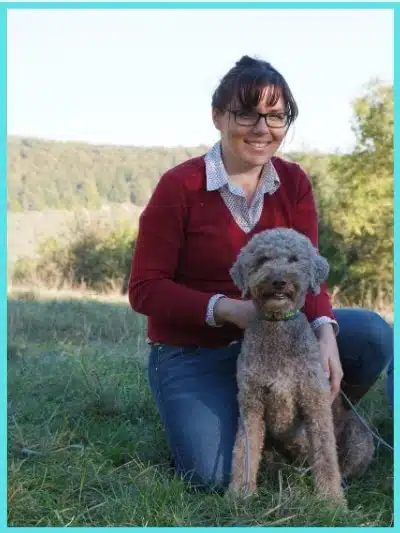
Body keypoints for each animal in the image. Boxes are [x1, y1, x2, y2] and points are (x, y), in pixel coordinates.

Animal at [230, 228, 374, 508]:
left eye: (294, 259)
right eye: (262, 259)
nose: (278, 281)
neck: (277, 326)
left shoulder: (315, 403)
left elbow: (326, 456)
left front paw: (332, 501)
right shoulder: (251, 404)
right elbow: (244, 451)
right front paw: (239, 494)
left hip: (361, 440)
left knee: (343, 465)